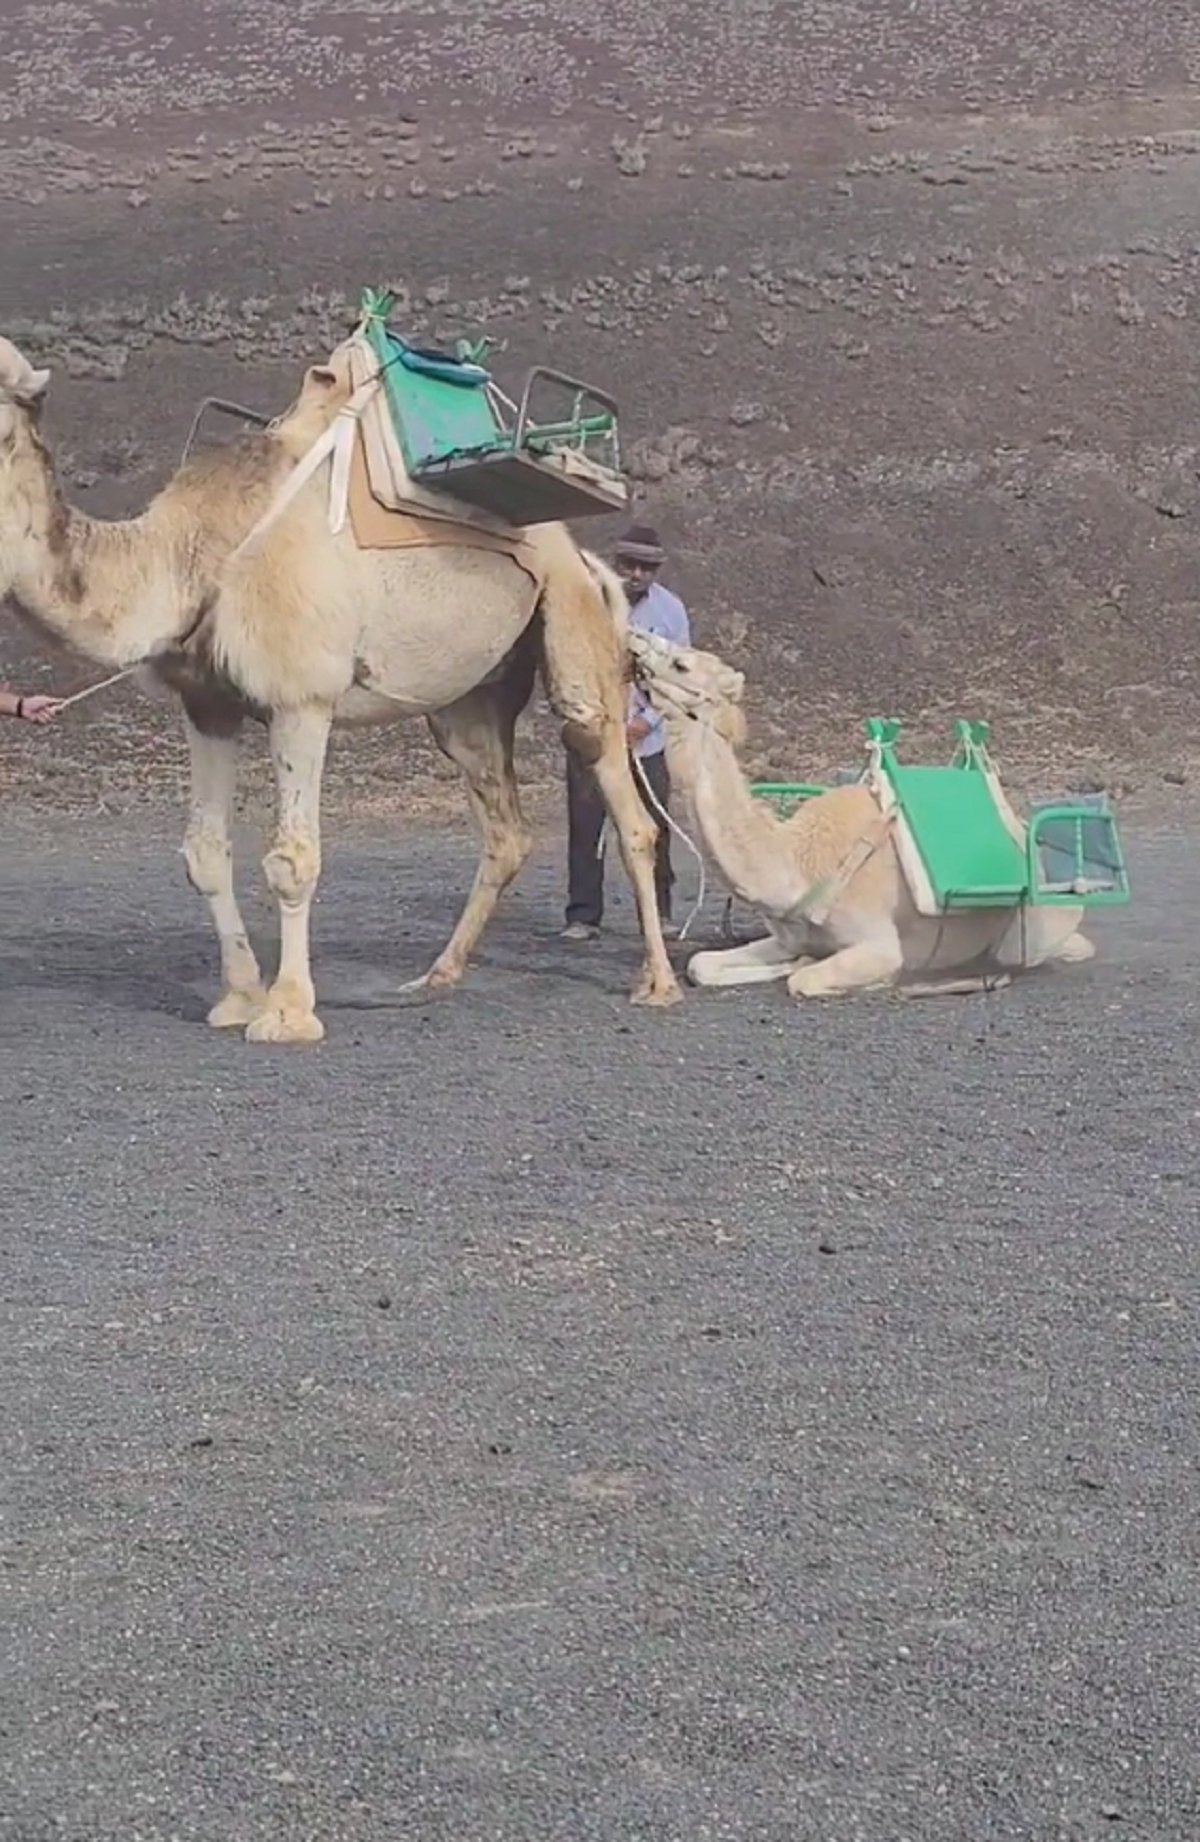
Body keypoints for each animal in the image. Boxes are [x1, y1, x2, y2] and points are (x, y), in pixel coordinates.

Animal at [0, 333, 682, 1046]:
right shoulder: (208, 703)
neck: (190, 559)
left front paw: (287, 1012)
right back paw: (434, 978)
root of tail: (591, 563)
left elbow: (292, 858)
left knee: (624, 802)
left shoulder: (301, 699)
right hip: (470, 704)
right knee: (505, 831)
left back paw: (657, 983)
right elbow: (205, 853)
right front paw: (237, 997)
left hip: (575, 630)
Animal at [630, 637, 1098, 1009]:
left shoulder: (878, 943)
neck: (797, 862)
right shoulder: (787, 934)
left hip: (1032, 930)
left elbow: (806, 978)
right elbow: (701, 964)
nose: (636, 644)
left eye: (681, 664)